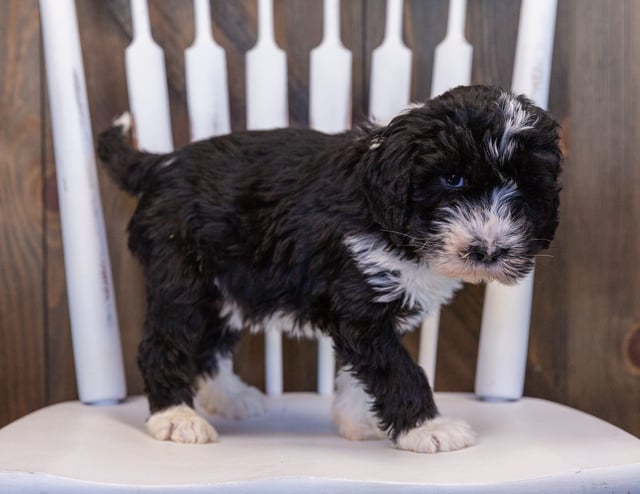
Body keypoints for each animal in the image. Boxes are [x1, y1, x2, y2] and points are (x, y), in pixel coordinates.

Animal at [97, 84, 564, 452]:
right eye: (453, 179)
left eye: (524, 186)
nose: (488, 250)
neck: (391, 219)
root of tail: (161, 164)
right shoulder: (360, 304)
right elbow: (398, 368)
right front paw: (427, 428)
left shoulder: (362, 313)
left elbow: (362, 369)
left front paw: (360, 421)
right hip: (182, 279)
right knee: (164, 344)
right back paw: (176, 417)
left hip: (223, 282)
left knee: (210, 342)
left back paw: (229, 397)